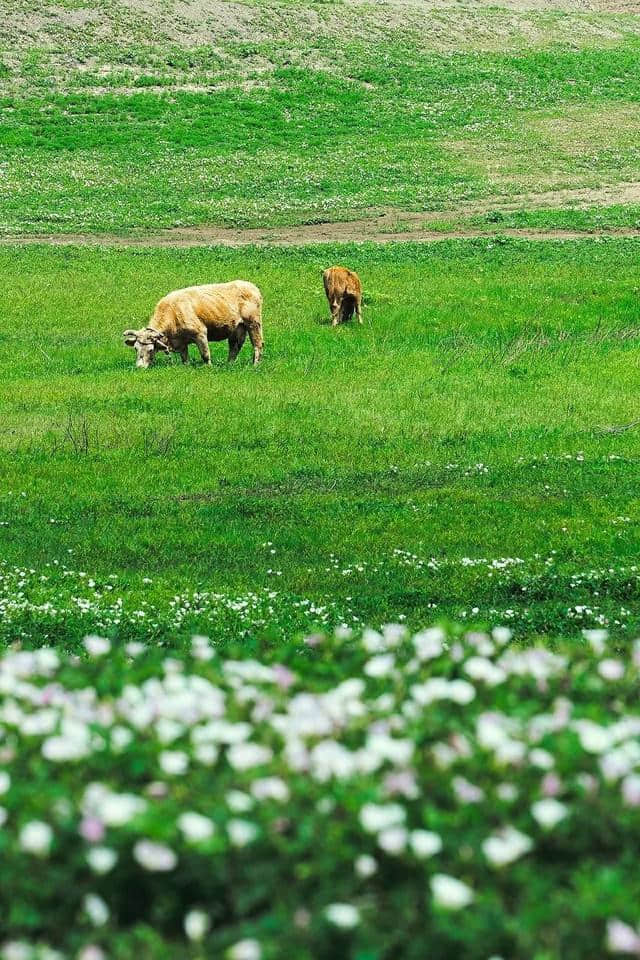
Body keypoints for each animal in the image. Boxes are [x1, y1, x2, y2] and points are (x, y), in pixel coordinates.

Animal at [124, 282, 264, 368]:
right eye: (135, 348)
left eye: (151, 349)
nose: (140, 367)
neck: (173, 312)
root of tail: (252, 287)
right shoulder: (181, 342)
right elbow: (185, 357)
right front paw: (186, 366)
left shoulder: (200, 333)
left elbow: (205, 354)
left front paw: (209, 367)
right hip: (237, 329)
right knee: (235, 347)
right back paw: (229, 364)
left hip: (254, 324)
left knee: (258, 344)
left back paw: (255, 365)